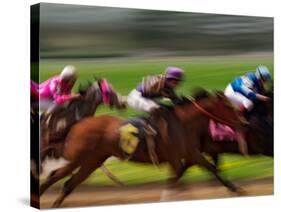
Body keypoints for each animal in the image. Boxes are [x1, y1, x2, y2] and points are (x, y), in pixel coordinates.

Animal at [38, 91, 245, 207]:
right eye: (228, 106)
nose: (243, 122)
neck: (183, 123)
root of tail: (78, 124)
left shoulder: (189, 155)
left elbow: (206, 170)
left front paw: (235, 189)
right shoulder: (179, 157)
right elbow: (184, 176)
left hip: (93, 160)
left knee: (68, 183)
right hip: (78, 157)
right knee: (56, 176)